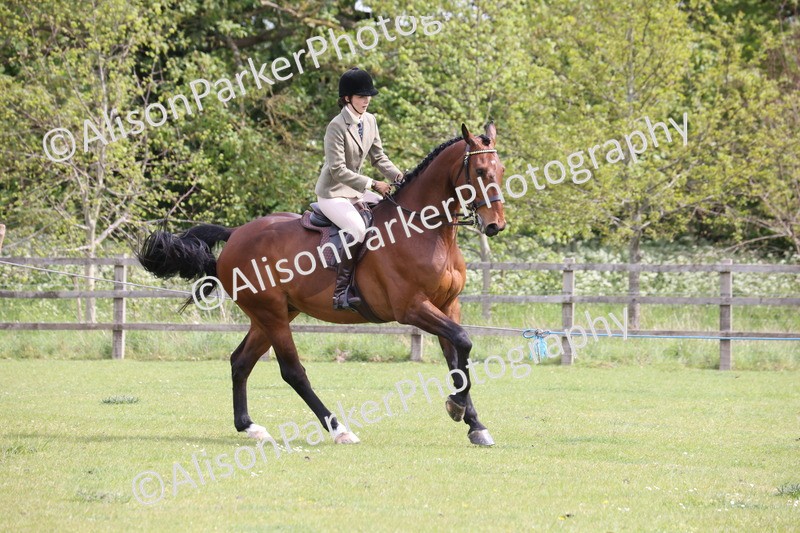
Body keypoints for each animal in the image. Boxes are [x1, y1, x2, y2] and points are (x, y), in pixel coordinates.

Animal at [137, 123, 506, 446]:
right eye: (480, 172)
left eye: (500, 170)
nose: (495, 226)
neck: (424, 230)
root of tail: (236, 233)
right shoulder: (412, 308)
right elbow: (463, 342)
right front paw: (457, 408)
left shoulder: (447, 305)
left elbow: (458, 358)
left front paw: (474, 424)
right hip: (271, 314)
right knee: (292, 371)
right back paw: (339, 430)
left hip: (273, 314)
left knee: (240, 362)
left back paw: (250, 427)